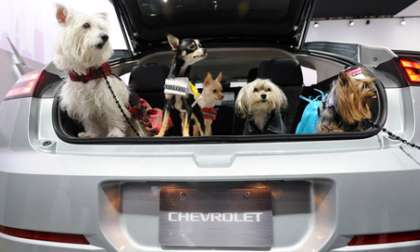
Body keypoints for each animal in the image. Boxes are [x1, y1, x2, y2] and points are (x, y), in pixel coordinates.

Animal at [54, 3, 144, 138]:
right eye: (86, 25)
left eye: (101, 28)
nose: (105, 37)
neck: (87, 74)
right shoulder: (82, 104)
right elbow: (89, 121)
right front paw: (91, 134)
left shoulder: (109, 97)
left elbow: (113, 115)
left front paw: (115, 132)